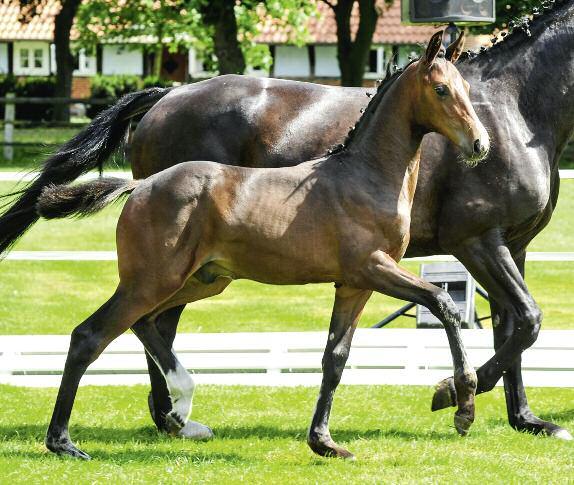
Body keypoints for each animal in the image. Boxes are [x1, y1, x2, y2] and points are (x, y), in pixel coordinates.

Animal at [1, 0, 574, 438]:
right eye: (441, 91)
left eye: (466, 94)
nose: (478, 144)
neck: (516, 108)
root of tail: (168, 93)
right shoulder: (474, 241)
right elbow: (519, 319)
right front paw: (451, 395)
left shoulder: (511, 244)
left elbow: (512, 325)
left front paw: (526, 419)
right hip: (172, 269)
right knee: (136, 325)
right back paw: (160, 419)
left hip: (201, 273)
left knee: (149, 324)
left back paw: (173, 416)